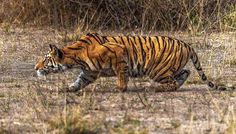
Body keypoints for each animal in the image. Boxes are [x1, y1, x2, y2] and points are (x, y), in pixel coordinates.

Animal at [34, 32, 225, 92]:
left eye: (45, 60)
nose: (35, 68)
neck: (75, 57)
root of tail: (187, 44)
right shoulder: (89, 72)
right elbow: (79, 81)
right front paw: (69, 89)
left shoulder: (119, 55)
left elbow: (121, 76)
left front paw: (119, 89)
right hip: (169, 69)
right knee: (186, 72)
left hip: (158, 70)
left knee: (172, 82)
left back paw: (154, 88)